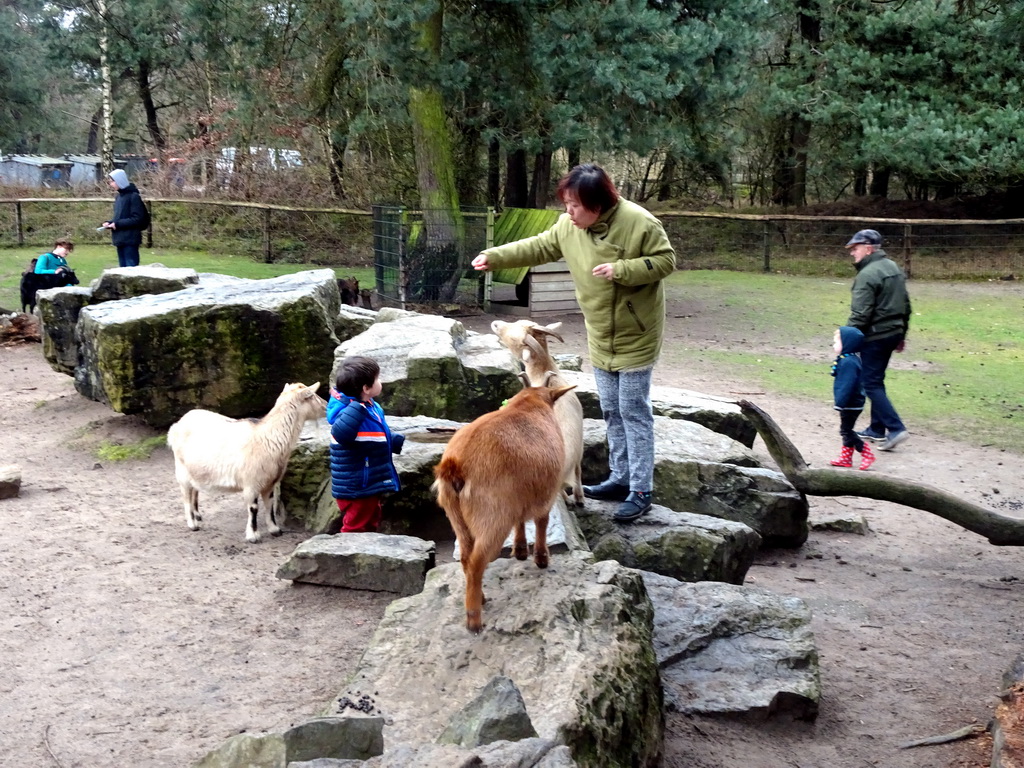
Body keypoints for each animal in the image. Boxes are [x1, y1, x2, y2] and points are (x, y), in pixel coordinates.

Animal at [167, 382, 325, 544]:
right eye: (312, 395)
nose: (326, 406)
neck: (268, 436)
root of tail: (176, 426)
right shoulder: (252, 482)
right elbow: (253, 508)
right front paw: (253, 535)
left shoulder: (269, 482)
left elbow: (269, 505)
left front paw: (275, 530)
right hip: (181, 469)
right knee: (186, 494)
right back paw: (192, 523)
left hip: (195, 470)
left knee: (194, 490)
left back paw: (197, 515)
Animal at [434, 382, 577, 634]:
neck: (529, 404)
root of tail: (455, 466)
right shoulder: (547, 493)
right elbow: (542, 521)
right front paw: (541, 559)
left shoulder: (517, 499)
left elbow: (520, 521)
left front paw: (520, 551)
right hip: (492, 518)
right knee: (476, 562)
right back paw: (474, 619)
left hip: (457, 517)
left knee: (465, 558)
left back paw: (479, 597)